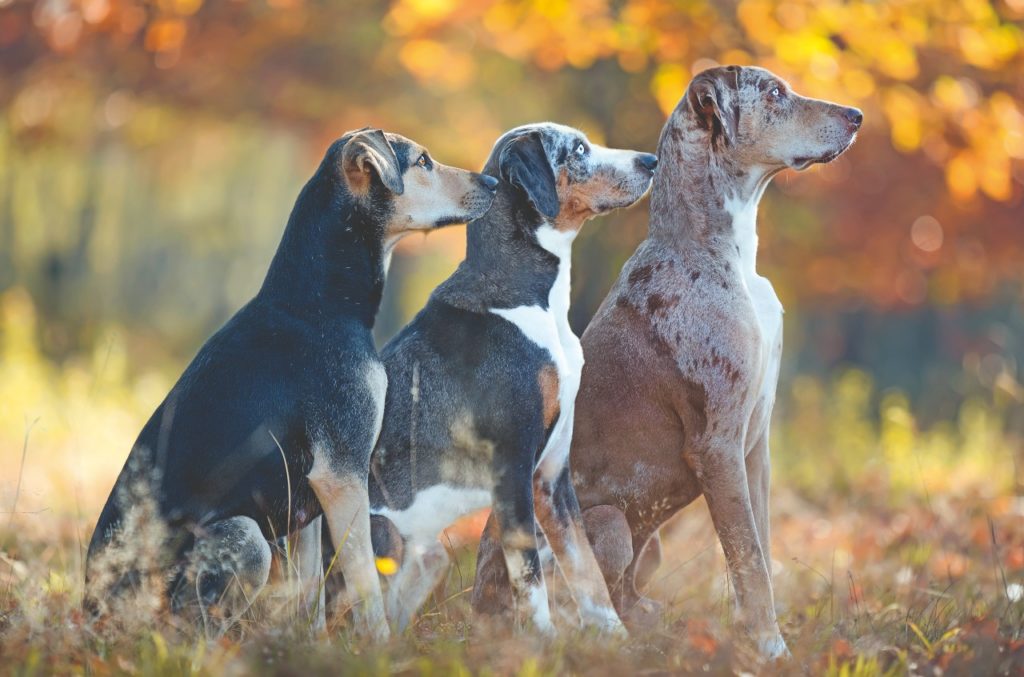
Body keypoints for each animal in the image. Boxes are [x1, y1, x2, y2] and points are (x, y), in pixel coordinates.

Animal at [87, 128, 495, 639]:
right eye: (423, 161)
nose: (495, 182)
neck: (319, 301)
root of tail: (92, 613)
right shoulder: (341, 475)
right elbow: (365, 582)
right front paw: (380, 647)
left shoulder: (305, 502)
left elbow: (310, 593)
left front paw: (311, 646)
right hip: (243, 539)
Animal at [368, 122, 655, 635]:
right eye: (577, 148)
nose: (651, 161)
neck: (533, 300)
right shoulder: (513, 469)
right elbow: (530, 579)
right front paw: (543, 642)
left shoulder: (552, 476)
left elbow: (587, 573)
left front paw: (614, 640)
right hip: (383, 534)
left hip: (431, 558)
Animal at [475, 66, 860, 655]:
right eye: (774, 93)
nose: (857, 116)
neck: (722, 252)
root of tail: (470, 608)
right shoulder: (717, 445)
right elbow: (747, 558)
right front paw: (770, 648)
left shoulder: (756, 449)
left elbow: (761, 549)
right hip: (606, 525)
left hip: (648, 546)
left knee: (629, 591)